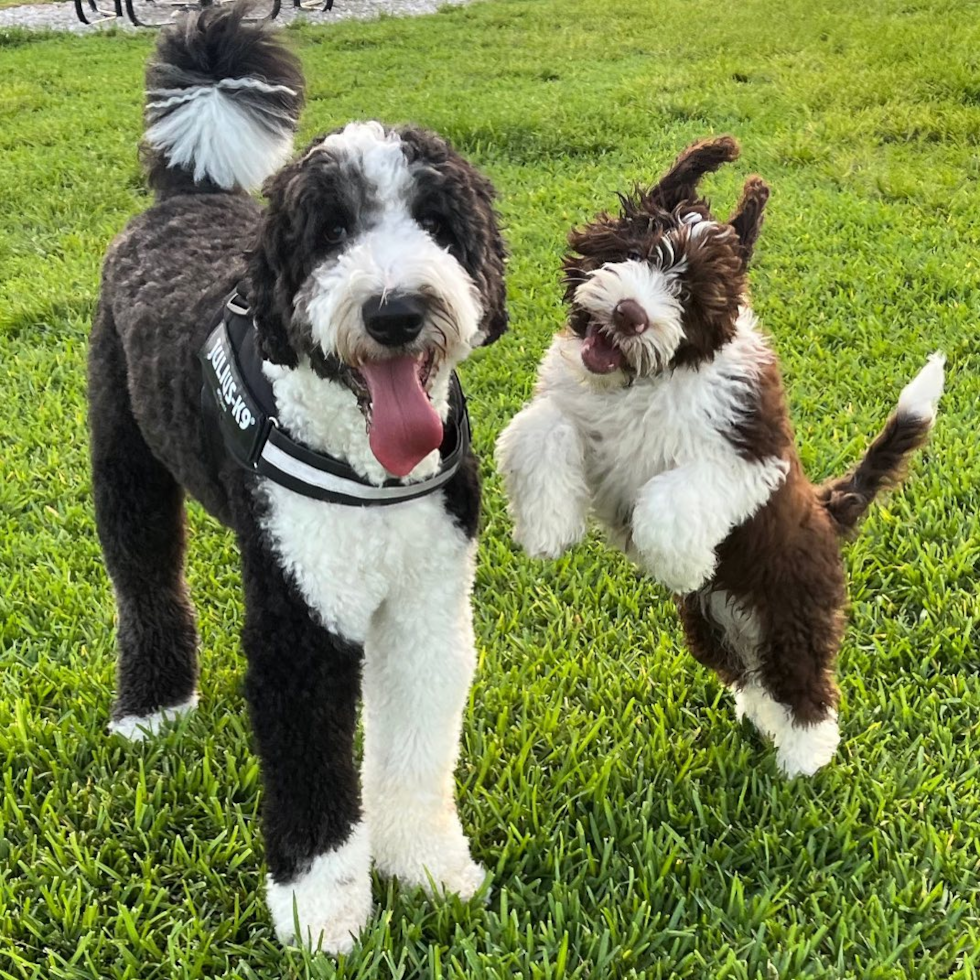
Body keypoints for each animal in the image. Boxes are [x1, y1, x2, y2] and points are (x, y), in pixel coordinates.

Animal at [87, 3, 506, 952]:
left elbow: (416, 751)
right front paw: (321, 910)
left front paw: (425, 865)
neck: (368, 469)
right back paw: (152, 707)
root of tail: (187, 199)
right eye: (331, 233)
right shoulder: (301, 624)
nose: (396, 312)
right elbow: (313, 766)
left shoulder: (426, 612)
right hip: (124, 463)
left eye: (438, 222)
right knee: (144, 578)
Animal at [498, 136, 940, 780]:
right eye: (641, 252)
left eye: (688, 294)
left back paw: (802, 760)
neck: (650, 376)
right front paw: (547, 528)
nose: (631, 314)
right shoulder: (574, 404)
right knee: (750, 675)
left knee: (802, 685)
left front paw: (679, 563)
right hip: (713, 622)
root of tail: (828, 510)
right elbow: (538, 431)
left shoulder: (749, 456)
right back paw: (758, 718)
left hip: (791, 610)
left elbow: (670, 495)